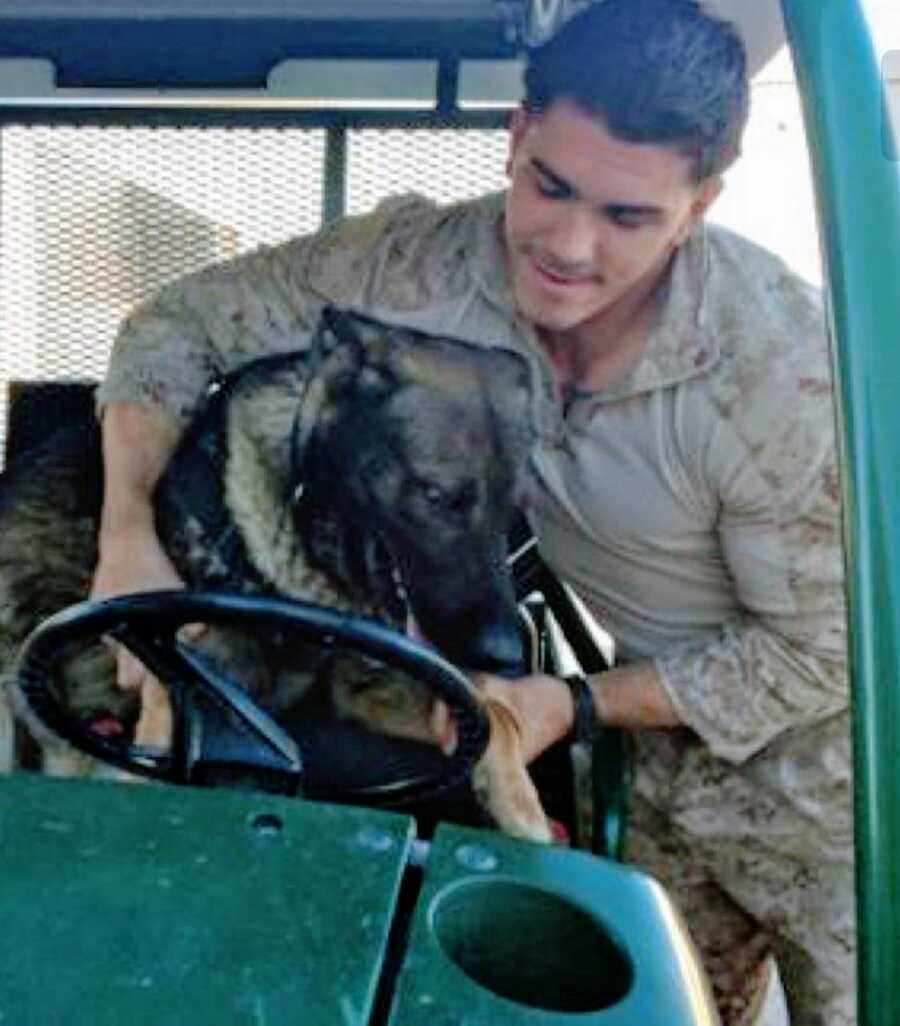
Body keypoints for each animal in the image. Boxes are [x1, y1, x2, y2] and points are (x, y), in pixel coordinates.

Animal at [0, 303, 550, 841]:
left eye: (512, 511)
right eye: (435, 495)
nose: (507, 657)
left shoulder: (371, 687)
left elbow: (496, 715)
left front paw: (523, 812)